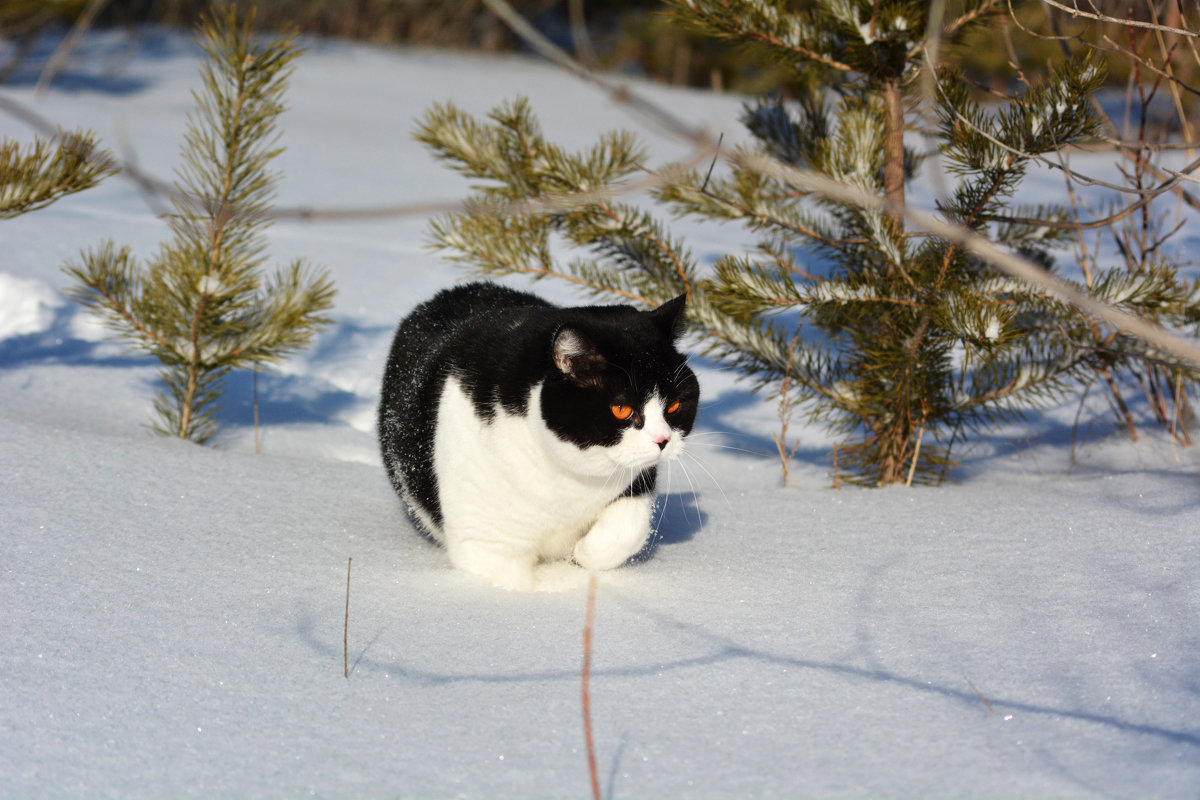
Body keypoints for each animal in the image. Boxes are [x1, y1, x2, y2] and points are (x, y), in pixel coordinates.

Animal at [379, 284, 700, 592]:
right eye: (622, 409)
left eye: (674, 406)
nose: (663, 441)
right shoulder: (486, 544)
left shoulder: (636, 480)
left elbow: (627, 528)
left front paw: (581, 555)